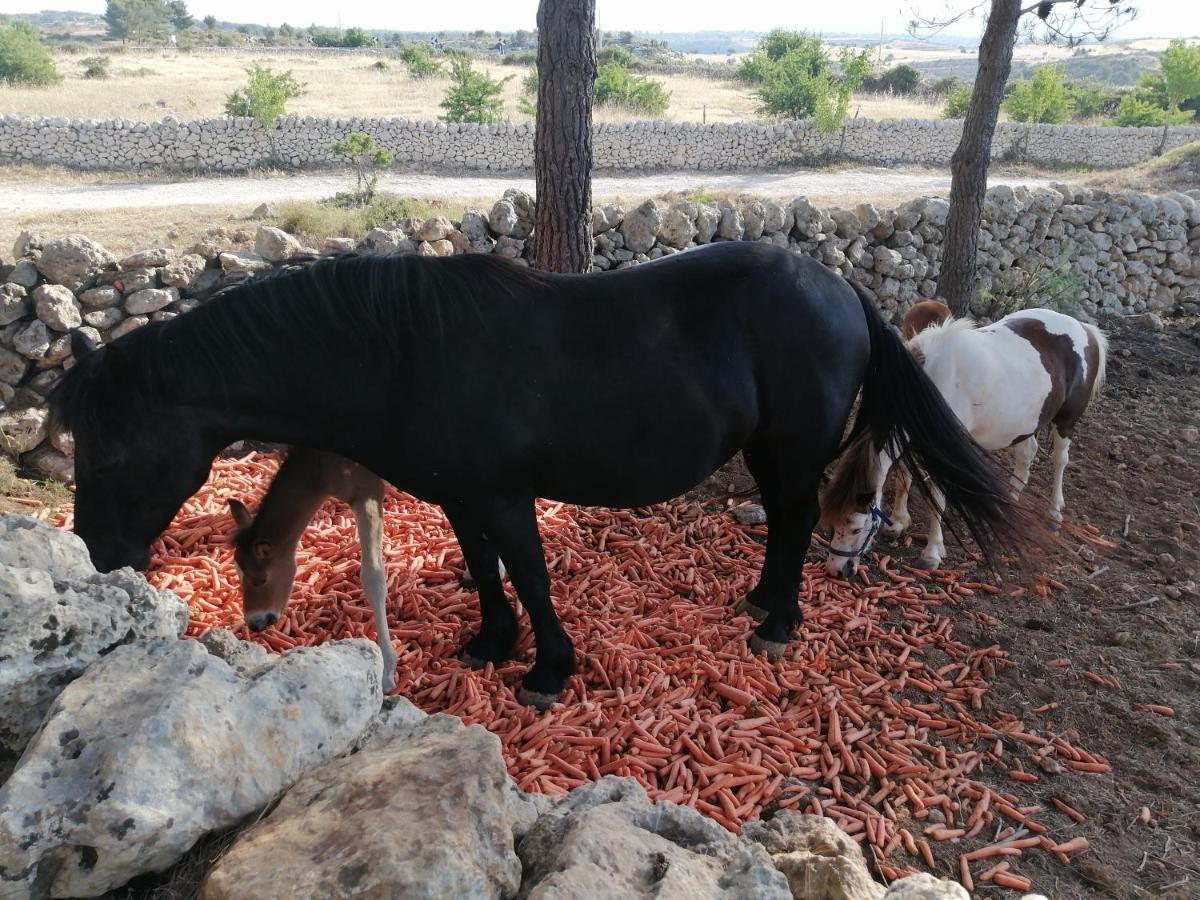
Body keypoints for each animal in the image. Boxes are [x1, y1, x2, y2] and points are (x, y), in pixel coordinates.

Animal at [54, 243, 1032, 710]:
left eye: (107, 446)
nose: (95, 553)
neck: (400, 353)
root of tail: (838, 288)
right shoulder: (458, 495)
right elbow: (486, 571)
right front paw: (492, 643)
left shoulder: (503, 495)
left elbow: (528, 571)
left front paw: (549, 670)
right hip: (764, 449)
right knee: (787, 523)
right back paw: (759, 601)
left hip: (791, 450)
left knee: (794, 520)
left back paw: (779, 623)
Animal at [825, 307, 1104, 573]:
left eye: (856, 527)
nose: (837, 571)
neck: (930, 381)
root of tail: (1084, 328)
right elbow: (904, 477)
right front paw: (898, 521)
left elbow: (936, 497)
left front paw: (932, 552)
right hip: (1026, 423)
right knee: (1026, 455)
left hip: (1065, 421)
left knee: (1060, 460)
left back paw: (1055, 512)